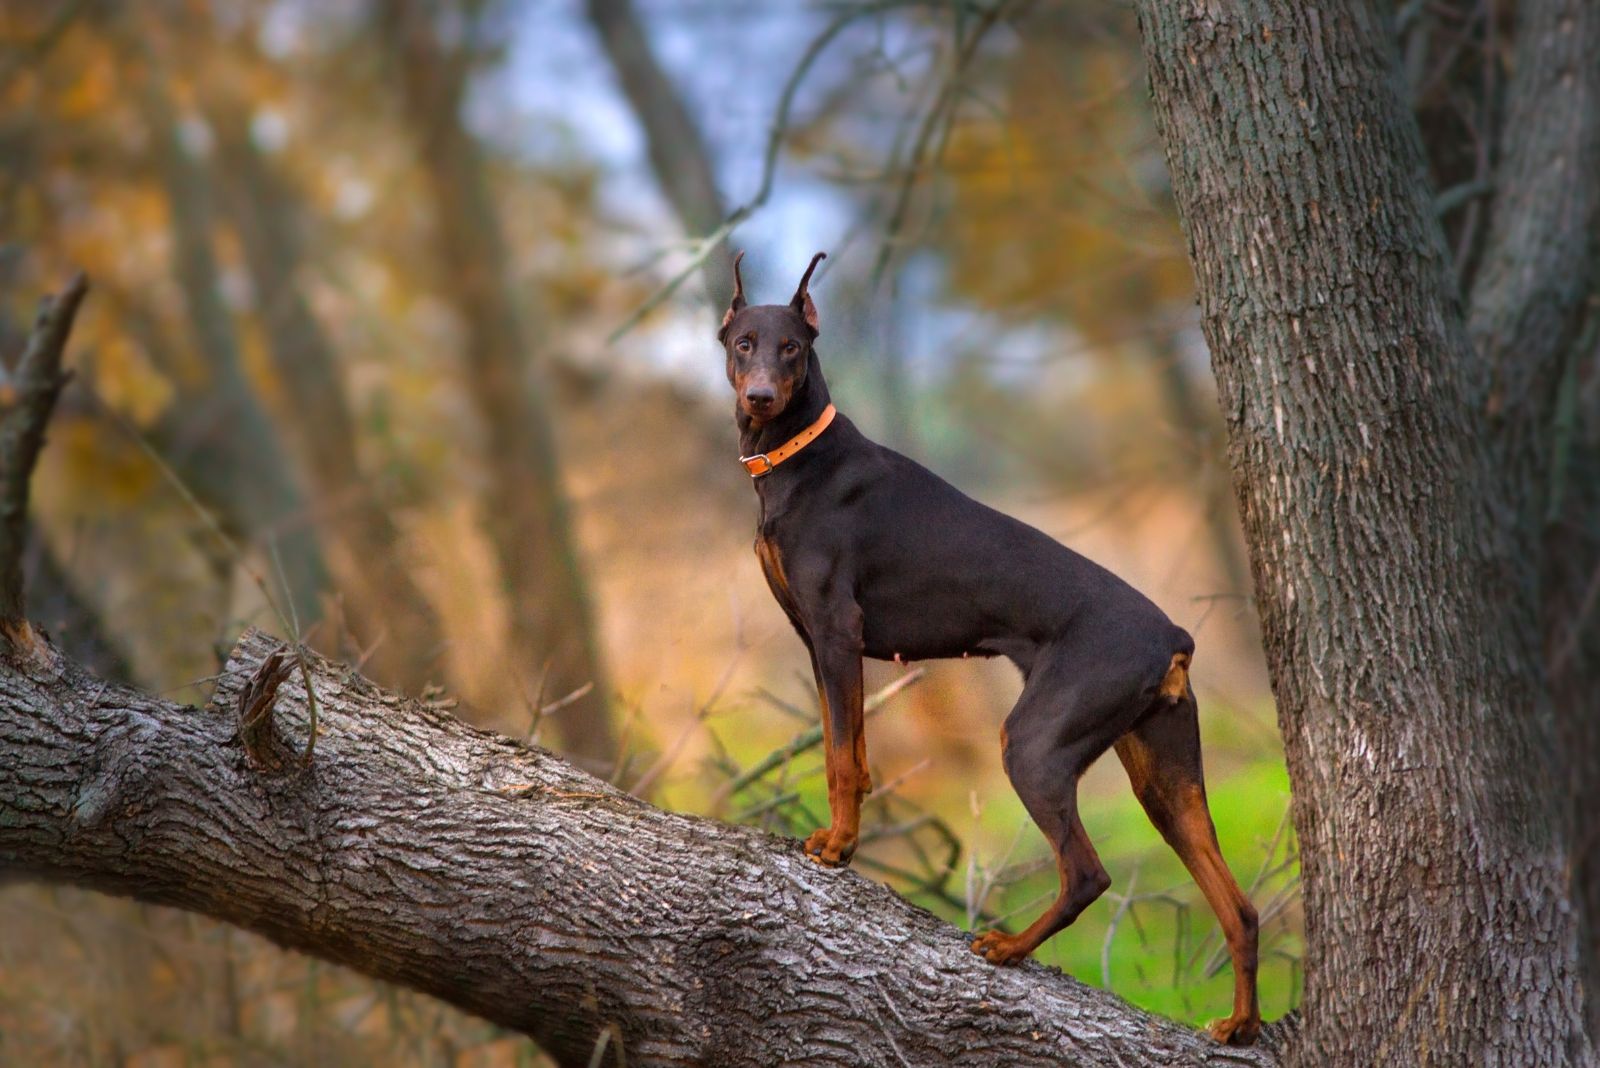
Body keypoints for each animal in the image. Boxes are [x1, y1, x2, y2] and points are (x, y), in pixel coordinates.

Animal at [726, 251, 1260, 1042]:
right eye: (744, 343)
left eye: (791, 346)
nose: (761, 397)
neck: (798, 456)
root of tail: (1174, 635)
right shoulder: (818, 643)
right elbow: (843, 752)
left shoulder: (835, 633)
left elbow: (843, 760)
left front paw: (839, 848)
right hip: (1165, 776)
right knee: (1238, 907)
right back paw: (1241, 1026)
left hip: (1035, 744)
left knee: (1088, 872)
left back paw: (1008, 949)